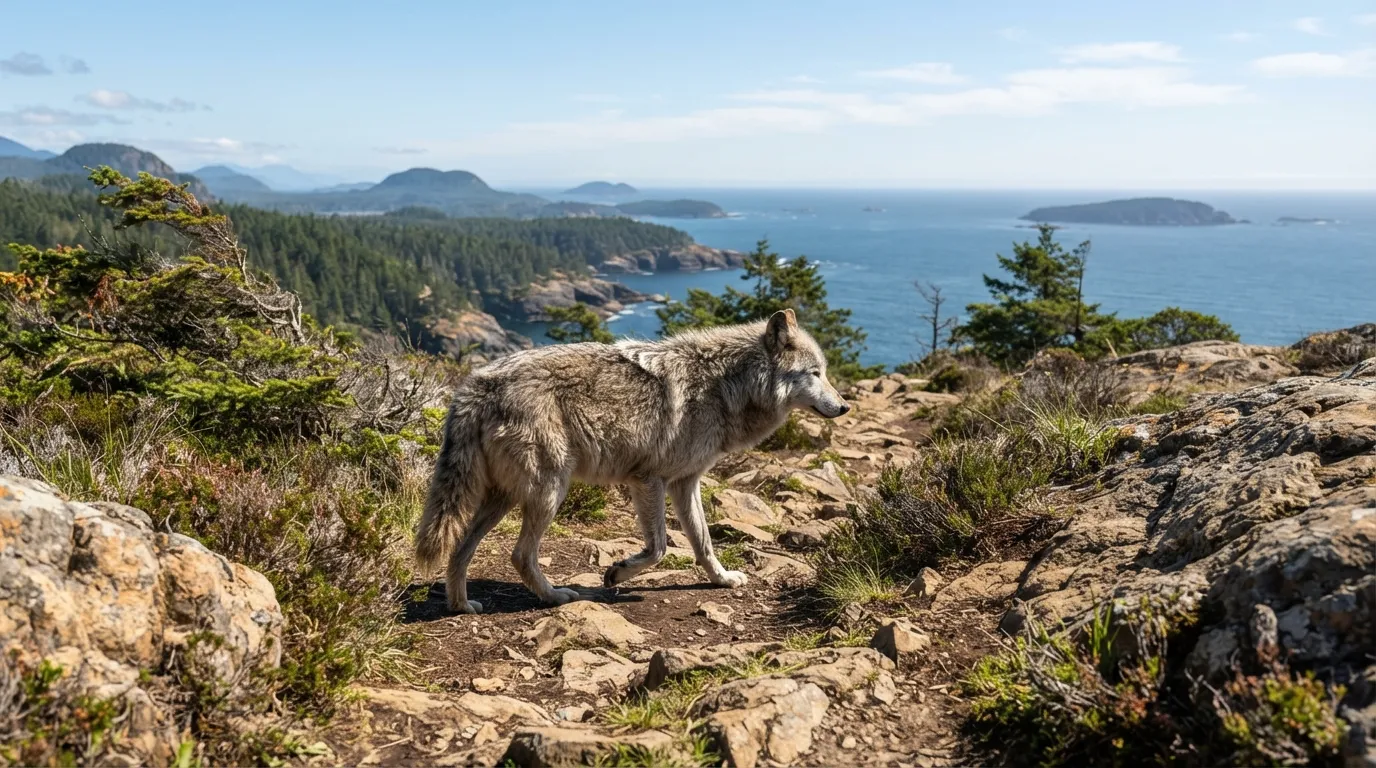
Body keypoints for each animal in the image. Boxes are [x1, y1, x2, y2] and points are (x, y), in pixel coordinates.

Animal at [414, 308, 850, 613]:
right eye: (815, 373)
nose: (845, 406)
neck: (725, 385)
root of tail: (476, 384)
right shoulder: (648, 480)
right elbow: (658, 548)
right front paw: (616, 572)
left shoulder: (686, 483)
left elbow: (703, 543)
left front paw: (723, 580)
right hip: (549, 490)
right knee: (520, 555)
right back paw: (555, 596)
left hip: (502, 497)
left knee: (459, 549)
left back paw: (460, 605)